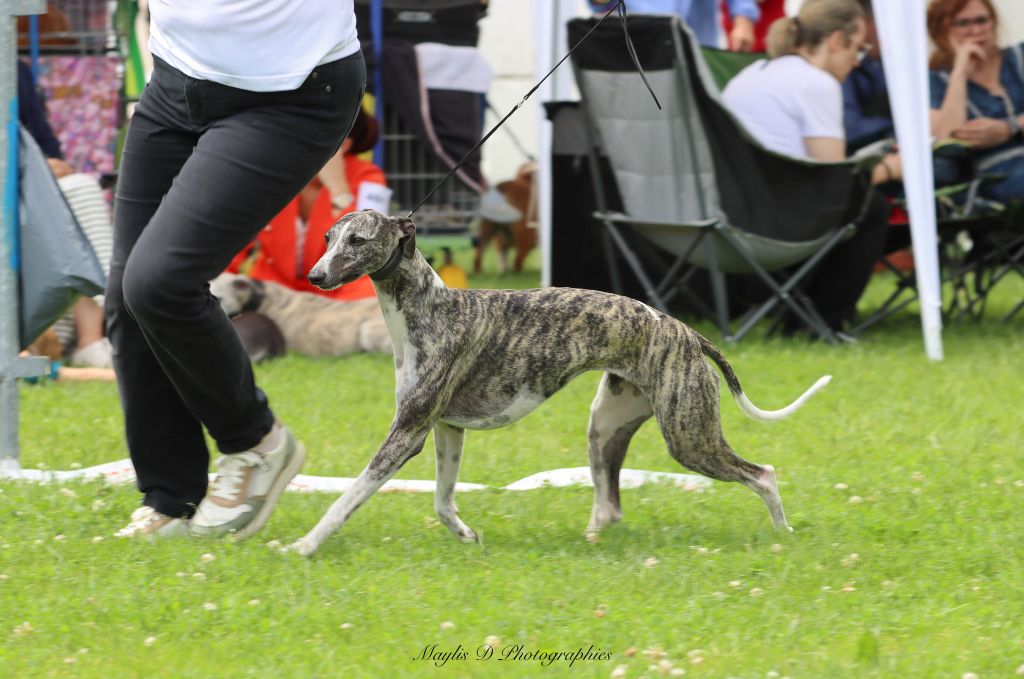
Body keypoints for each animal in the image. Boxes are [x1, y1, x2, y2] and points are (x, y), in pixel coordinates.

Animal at [290, 209, 831, 557]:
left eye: (358, 240)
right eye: (327, 237)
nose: (314, 276)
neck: (428, 308)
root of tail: (686, 331)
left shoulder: (408, 432)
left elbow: (346, 498)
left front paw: (304, 544)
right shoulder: (446, 428)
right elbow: (442, 502)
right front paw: (467, 537)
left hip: (689, 437)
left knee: (763, 474)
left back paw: (783, 534)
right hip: (607, 426)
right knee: (609, 505)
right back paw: (591, 541)